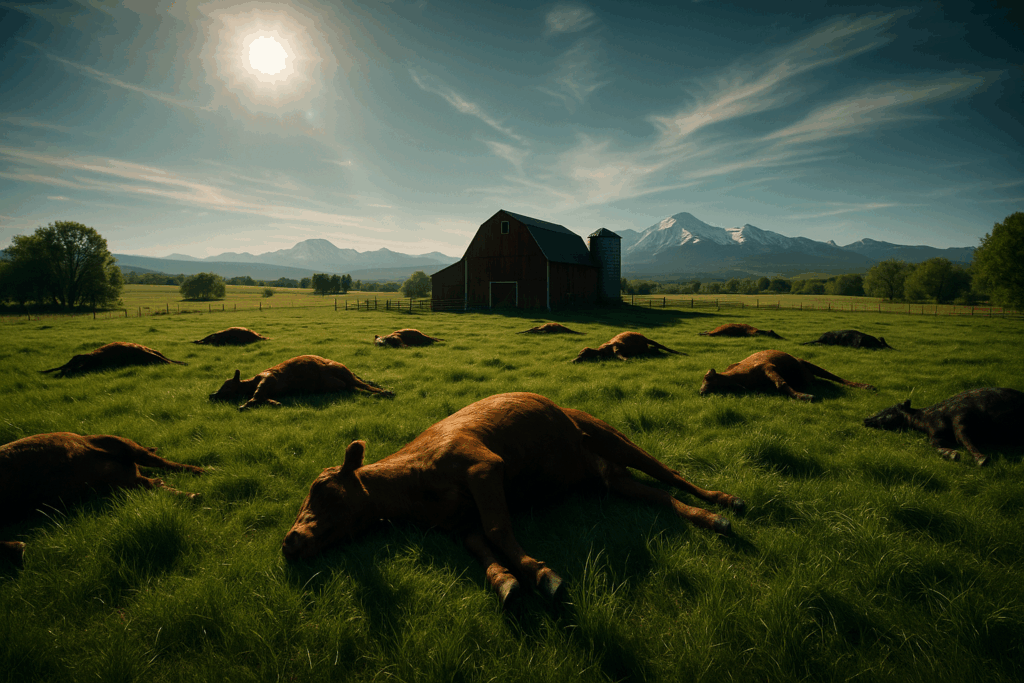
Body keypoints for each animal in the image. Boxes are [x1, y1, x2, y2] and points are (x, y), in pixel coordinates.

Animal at [1, 433, 205, 563]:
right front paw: (20, 548)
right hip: (123, 481)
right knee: (155, 482)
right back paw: (195, 494)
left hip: (122, 444)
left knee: (161, 463)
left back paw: (201, 472)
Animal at [209, 355, 394, 410]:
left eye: (227, 386)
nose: (212, 395)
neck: (250, 383)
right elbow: (264, 398)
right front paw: (275, 403)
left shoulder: (266, 378)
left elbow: (257, 395)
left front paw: (245, 405)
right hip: (344, 384)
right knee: (359, 389)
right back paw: (383, 393)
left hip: (345, 373)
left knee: (365, 385)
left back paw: (387, 392)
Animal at [282, 392, 744, 607]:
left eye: (320, 488)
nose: (289, 542)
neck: (415, 484)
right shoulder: (459, 524)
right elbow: (482, 548)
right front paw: (505, 581)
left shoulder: (483, 466)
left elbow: (498, 527)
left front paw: (542, 575)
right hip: (609, 479)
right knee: (660, 497)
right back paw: (708, 519)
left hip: (611, 436)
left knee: (670, 475)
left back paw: (725, 503)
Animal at [700, 349, 876, 401]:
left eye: (707, 379)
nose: (701, 392)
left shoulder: (768, 367)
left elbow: (781, 383)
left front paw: (804, 396)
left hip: (809, 363)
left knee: (835, 377)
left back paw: (867, 386)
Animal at [863, 388, 1024, 466]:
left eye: (888, 411)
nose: (866, 420)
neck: (928, 419)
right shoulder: (936, 435)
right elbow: (936, 446)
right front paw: (951, 454)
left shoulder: (961, 418)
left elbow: (963, 439)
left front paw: (981, 458)